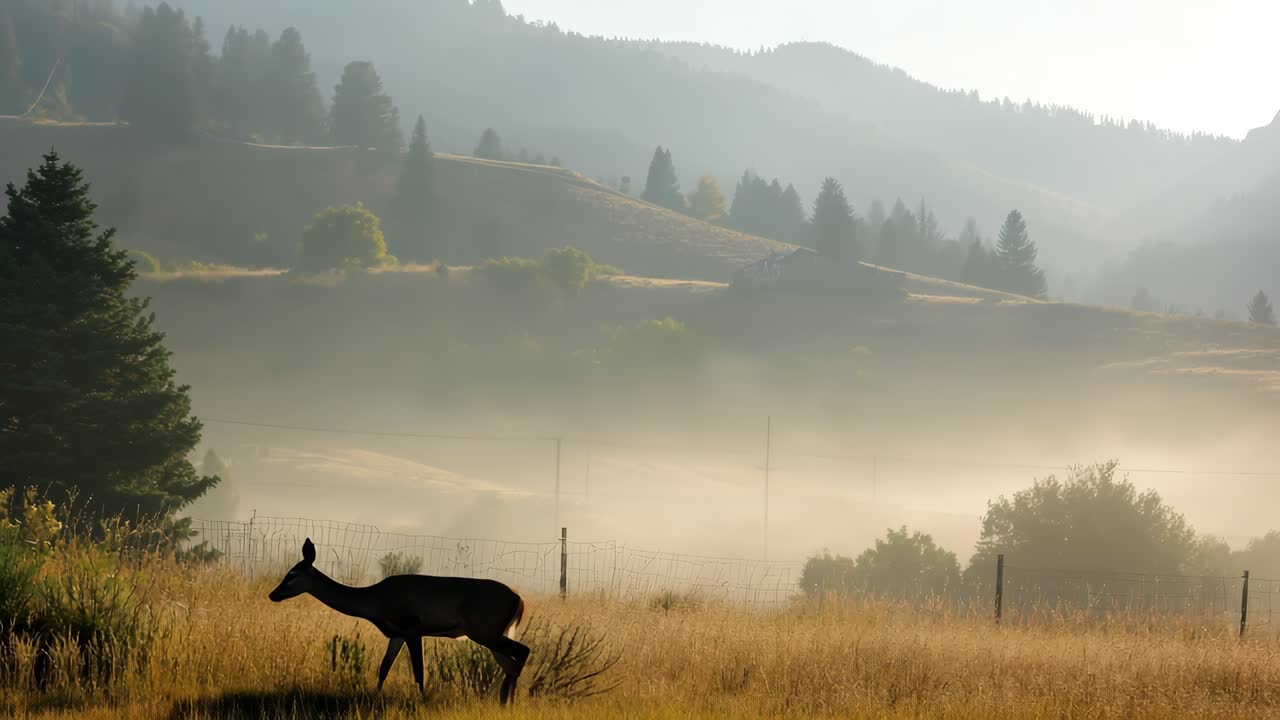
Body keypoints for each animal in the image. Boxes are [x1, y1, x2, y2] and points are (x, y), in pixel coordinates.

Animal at [268, 538, 530, 705]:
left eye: (291, 575)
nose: (273, 594)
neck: (376, 601)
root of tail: (520, 600)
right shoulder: (396, 633)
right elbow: (383, 668)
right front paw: (374, 698)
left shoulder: (413, 628)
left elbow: (419, 672)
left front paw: (422, 701)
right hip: (492, 633)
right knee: (510, 664)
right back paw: (505, 701)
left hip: (484, 630)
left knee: (523, 652)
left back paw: (510, 700)